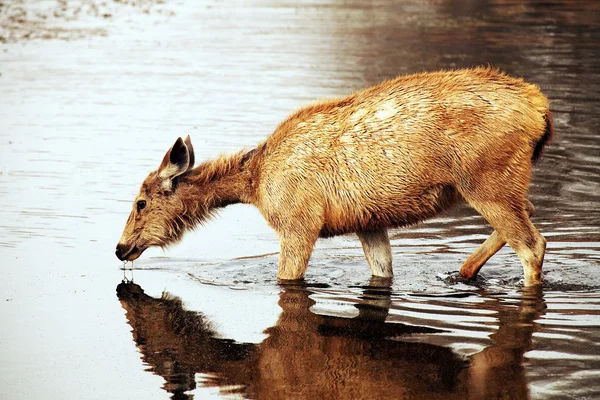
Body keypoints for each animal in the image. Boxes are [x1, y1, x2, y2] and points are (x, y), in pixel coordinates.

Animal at [116, 69, 552, 288]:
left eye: (140, 202)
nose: (120, 249)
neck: (254, 183)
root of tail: (541, 108)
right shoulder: (369, 222)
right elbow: (382, 270)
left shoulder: (298, 224)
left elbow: (286, 278)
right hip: (500, 184)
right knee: (529, 213)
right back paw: (462, 271)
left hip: (486, 182)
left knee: (532, 243)